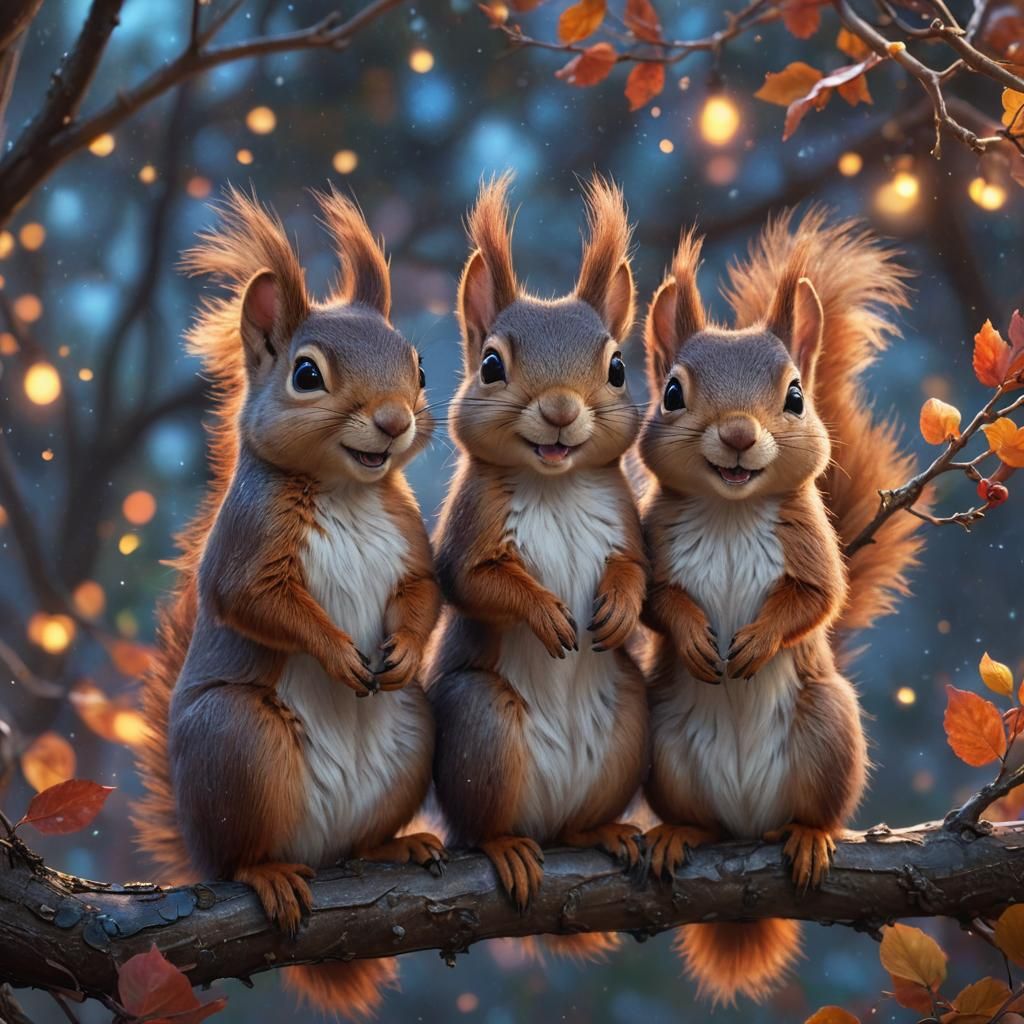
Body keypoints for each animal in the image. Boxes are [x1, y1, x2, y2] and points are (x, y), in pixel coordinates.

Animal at [133, 187, 444, 1019]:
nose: (395, 420)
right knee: (243, 852)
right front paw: (337, 652)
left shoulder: (412, 541)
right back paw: (264, 873)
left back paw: (394, 844)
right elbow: (259, 604)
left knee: (358, 840)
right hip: (236, 740)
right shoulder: (246, 549)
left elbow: (424, 594)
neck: (344, 489)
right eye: (307, 374)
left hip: (412, 737)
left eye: (419, 367)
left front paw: (403, 647)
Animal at [426, 174, 649, 959]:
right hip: (482, 726)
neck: (555, 484)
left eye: (617, 367)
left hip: (628, 720)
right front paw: (546, 612)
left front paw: (617, 604)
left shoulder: (625, 519)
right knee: (486, 827)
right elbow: (475, 581)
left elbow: (642, 574)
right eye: (491, 364)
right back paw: (507, 850)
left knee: (578, 821)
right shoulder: (472, 524)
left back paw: (602, 831)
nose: (559, 411)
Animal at [637, 208, 922, 1003]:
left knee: (815, 809)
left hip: (828, 730)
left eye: (796, 396)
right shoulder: (651, 545)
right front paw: (697, 638)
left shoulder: (813, 548)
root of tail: (746, 819)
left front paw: (758, 641)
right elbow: (656, 605)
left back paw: (808, 836)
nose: (738, 434)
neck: (732, 510)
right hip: (665, 749)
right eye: (672, 393)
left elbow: (818, 601)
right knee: (701, 820)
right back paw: (683, 834)